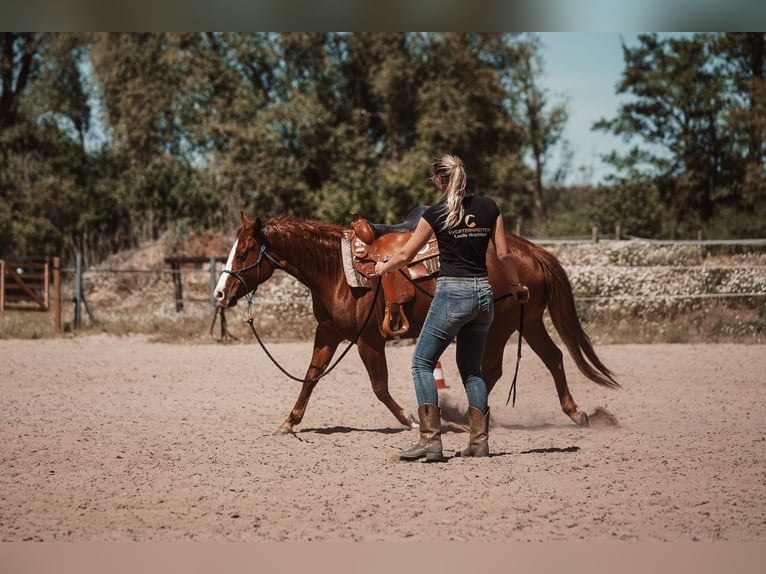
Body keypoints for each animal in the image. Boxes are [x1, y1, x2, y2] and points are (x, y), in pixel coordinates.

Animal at [213, 214, 620, 434]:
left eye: (244, 253)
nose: (219, 293)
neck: (336, 272)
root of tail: (531, 251)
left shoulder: (368, 340)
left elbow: (379, 387)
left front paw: (409, 419)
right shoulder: (328, 332)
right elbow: (311, 376)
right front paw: (289, 422)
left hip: (500, 326)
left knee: (493, 369)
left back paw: (458, 416)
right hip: (529, 321)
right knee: (553, 358)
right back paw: (576, 413)